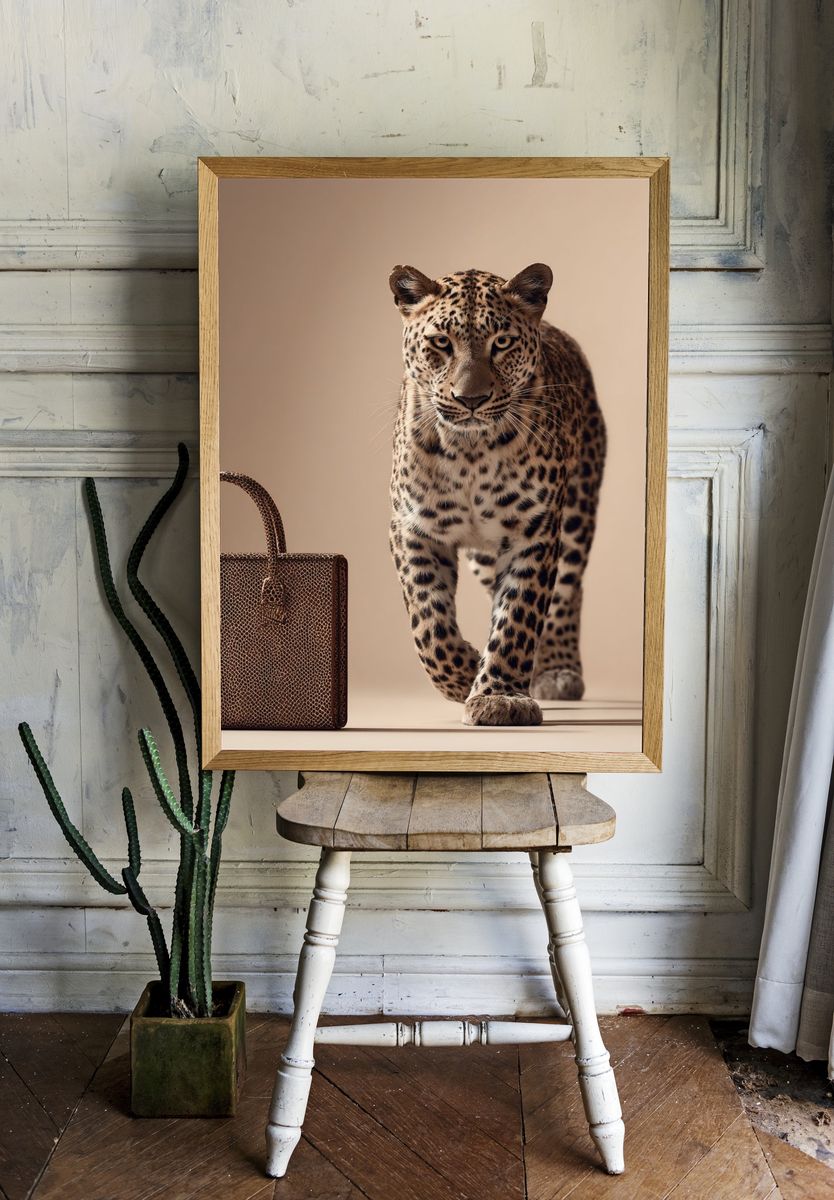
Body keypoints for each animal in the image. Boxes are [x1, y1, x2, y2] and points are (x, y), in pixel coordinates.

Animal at [388, 262, 606, 726]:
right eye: (441, 342)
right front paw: (465, 672)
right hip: (484, 555)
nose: (470, 399)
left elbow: (519, 617)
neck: (469, 450)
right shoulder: (415, 530)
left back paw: (556, 670)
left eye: (501, 342)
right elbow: (428, 625)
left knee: (567, 591)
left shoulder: (533, 531)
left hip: (578, 512)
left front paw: (499, 696)